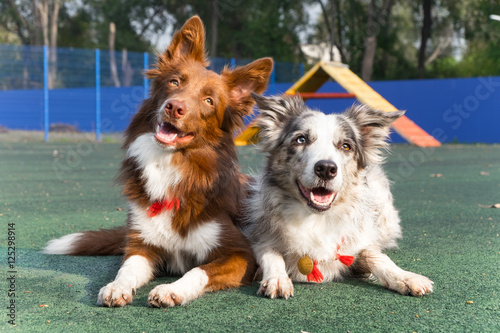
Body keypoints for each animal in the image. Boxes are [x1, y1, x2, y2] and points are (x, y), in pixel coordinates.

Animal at [243, 93, 434, 298]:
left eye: (346, 146)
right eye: (301, 140)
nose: (326, 169)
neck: (315, 219)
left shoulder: (360, 242)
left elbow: (377, 256)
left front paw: (406, 277)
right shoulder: (256, 236)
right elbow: (270, 253)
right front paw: (277, 278)